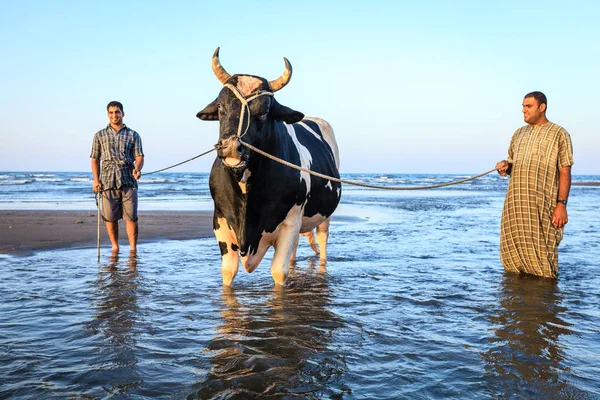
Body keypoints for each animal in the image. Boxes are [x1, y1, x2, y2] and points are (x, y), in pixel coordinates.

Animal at [196, 48, 340, 286]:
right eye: (221, 107)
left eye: (263, 112)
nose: (232, 147)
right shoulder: (221, 221)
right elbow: (228, 271)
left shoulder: (290, 223)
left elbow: (279, 272)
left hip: (324, 217)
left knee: (323, 240)